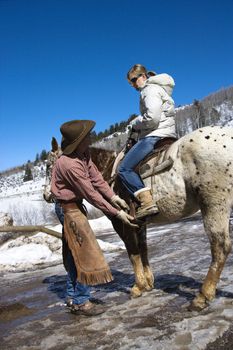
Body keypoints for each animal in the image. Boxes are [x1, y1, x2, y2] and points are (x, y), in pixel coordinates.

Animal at [44, 124, 233, 310]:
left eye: (48, 166)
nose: (47, 195)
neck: (109, 172)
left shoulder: (123, 223)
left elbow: (132, 252)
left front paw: (138, 286)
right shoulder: (140, 223)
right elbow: (143, 249)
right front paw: (149, 282)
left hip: (214, 203)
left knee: (220, 246)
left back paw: (202, 297)